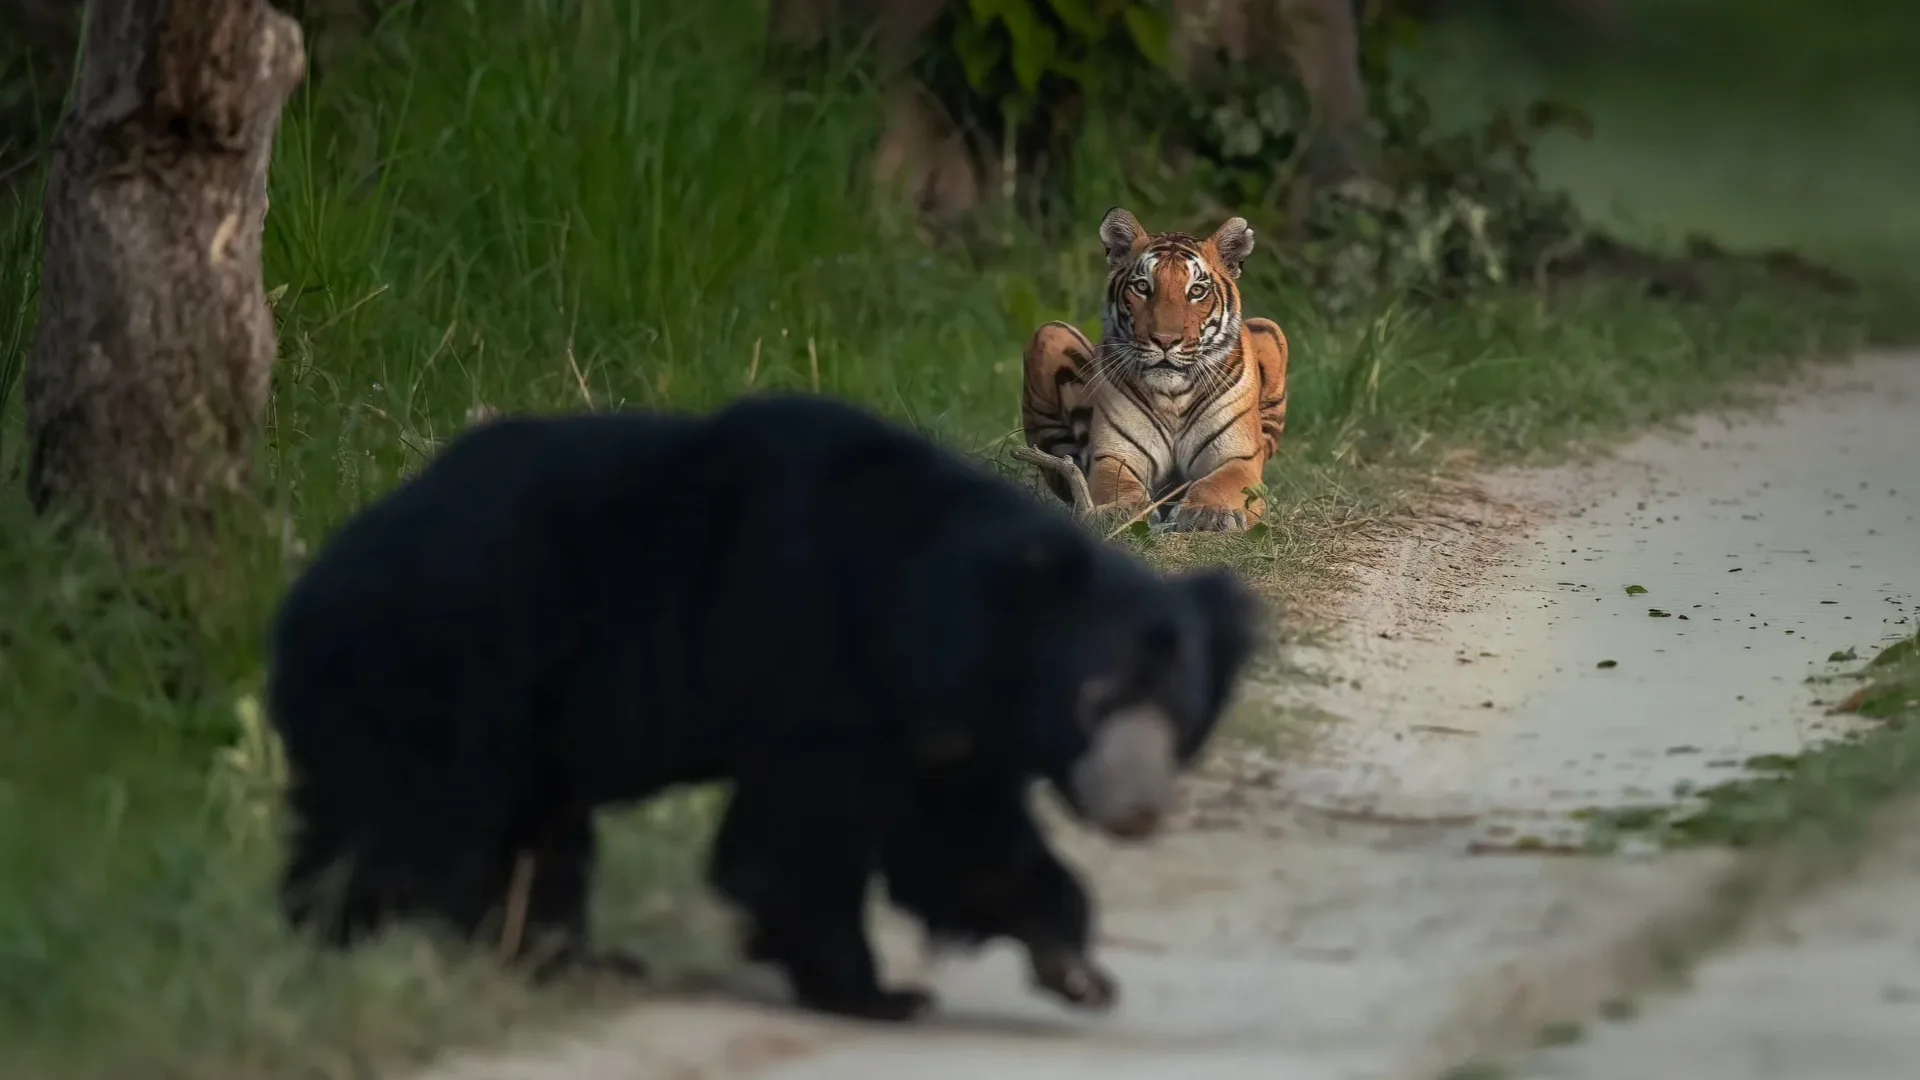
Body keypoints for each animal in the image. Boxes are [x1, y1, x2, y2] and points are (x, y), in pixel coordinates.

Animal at [266, 392, 1259, 1022]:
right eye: (1096, 700)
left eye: (1180, 718)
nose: (1137, 809)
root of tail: (300, 599)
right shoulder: (817, 659)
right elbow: (798, 839)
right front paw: (879, 994)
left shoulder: (942, 731)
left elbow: (958, 841)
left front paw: (1074, 966)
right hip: (443, 672)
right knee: (418, 823)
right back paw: (384, 947)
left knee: (524, 836)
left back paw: (558, 957)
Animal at [1021, 206, 1290, 533]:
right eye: (1142, 287)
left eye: (1196, 291)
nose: (1165, 340)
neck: (1173, 395)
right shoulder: (1114, 455)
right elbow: (1116, 484)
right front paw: (1119, 511)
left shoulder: (1238, 457)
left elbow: (1222, 483)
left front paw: (1208, 512)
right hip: (1049, 333)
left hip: (1271, 330)